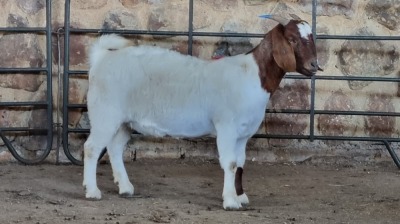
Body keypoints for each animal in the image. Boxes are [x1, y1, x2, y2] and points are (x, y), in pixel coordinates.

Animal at [83, 14, 322, 210]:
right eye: (292, 39)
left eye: (311, 37)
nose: (314, 65)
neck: (252, 76)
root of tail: (103, 58)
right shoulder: (227, 127)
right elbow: (230, 163)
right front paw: (230, 201)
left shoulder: (243, 134)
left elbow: (240, 163)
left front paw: (240, 196)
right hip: (105, 114)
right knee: (92, 148)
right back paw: (92, 191)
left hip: (123, 121)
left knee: (114, 148)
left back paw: (125, 188)